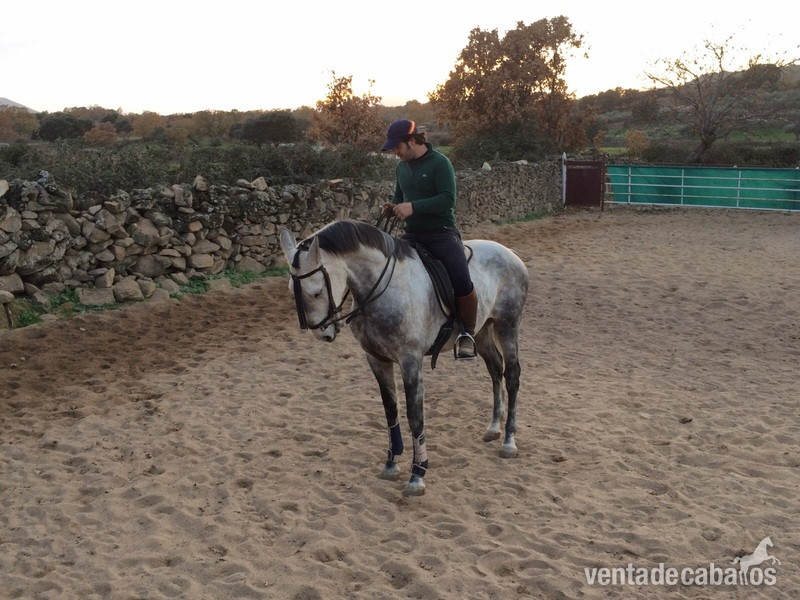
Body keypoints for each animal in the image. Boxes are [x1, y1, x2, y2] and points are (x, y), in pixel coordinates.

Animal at [279, 219, 529, 496]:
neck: (383, 289)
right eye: (291, 289)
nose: (322, 333)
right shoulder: (376, 359)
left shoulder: (411, 361)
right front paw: (391, 464)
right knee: (495, 369)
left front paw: (417, 475)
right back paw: (494, 427)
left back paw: (508, 441)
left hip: (507, 326)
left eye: (316, 291)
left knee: (512, 376)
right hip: (483, 330)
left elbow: (415, 416)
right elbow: (391, 410)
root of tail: (510, 254)